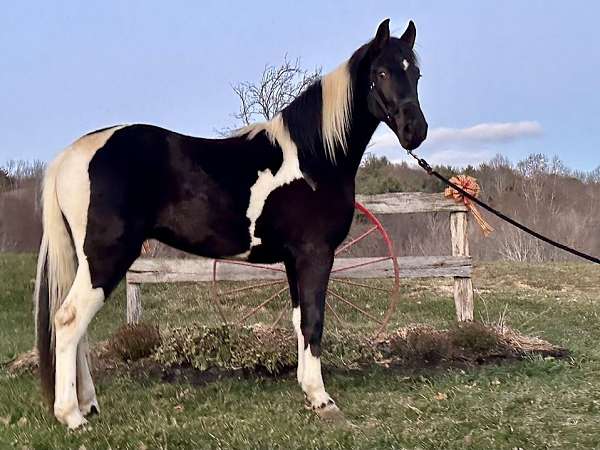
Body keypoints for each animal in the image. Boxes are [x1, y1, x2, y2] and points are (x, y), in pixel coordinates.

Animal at [34, 19, 426, 428]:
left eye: (415, 73)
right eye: (381, 73)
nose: (416, 131)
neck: (314, 157)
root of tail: (70, 155)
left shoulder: (293, 260)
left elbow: (299, 319)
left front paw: (306, 388)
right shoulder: (315, 255)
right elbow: (314, 321)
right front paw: (322, 399)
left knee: (77, 327)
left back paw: (88, 404)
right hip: (105, 259)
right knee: (69, 321)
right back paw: (72, 416)